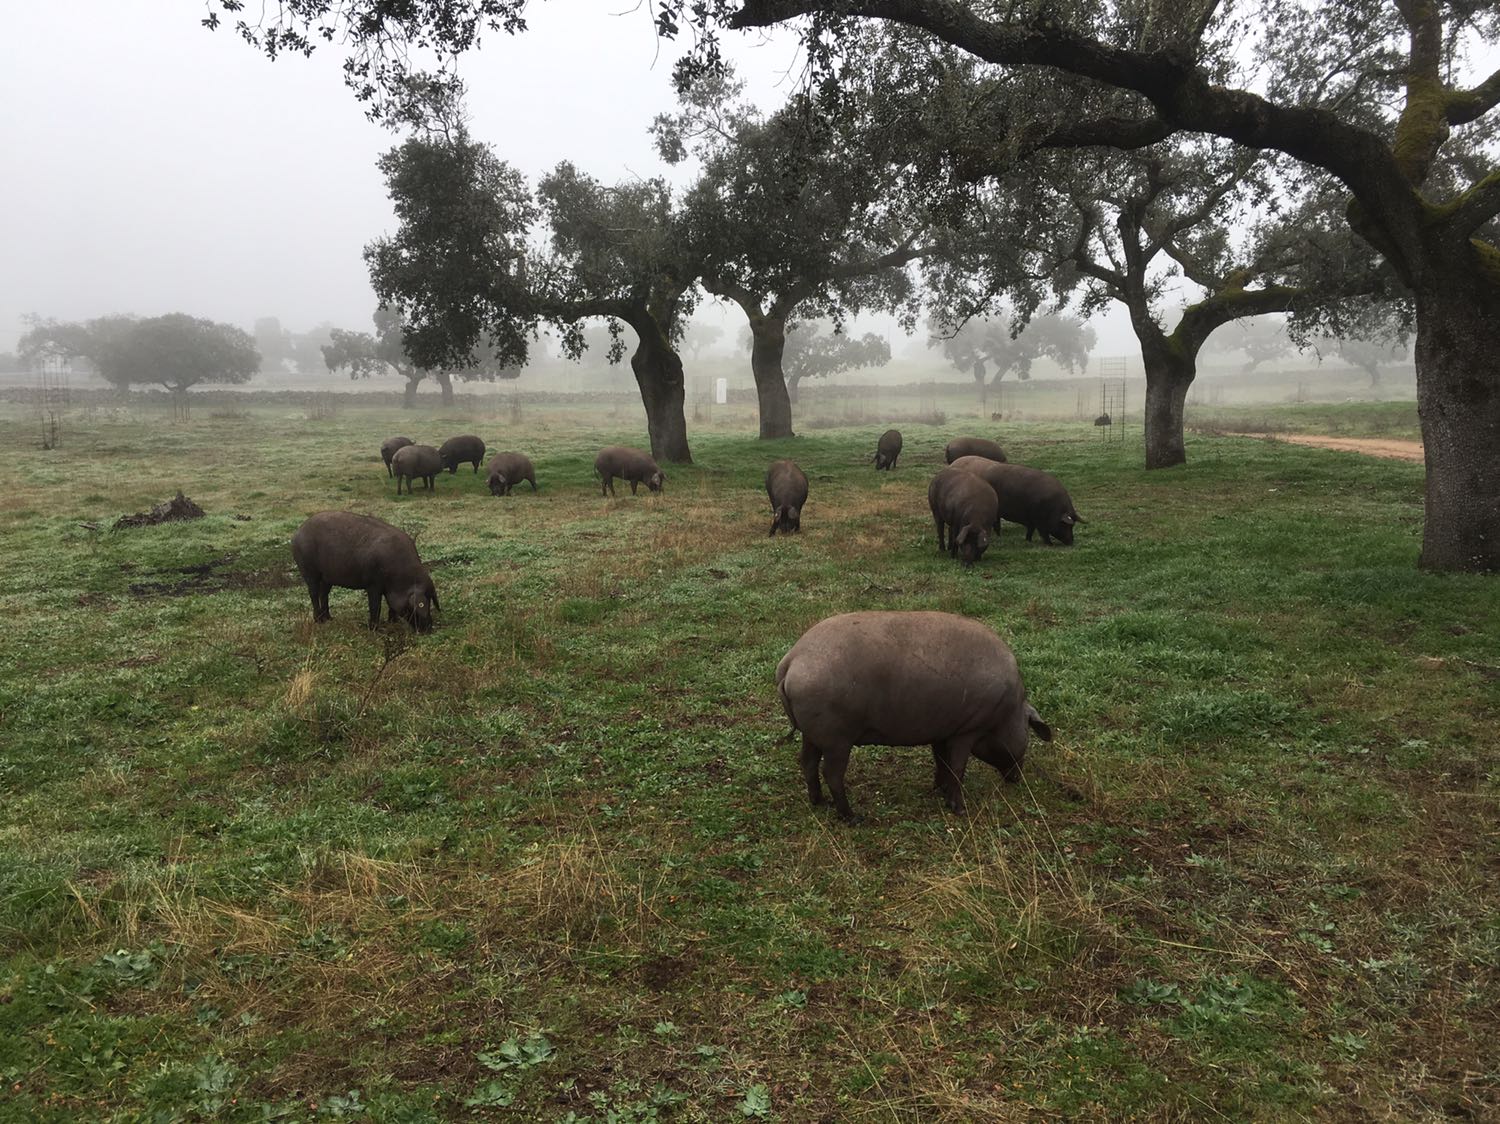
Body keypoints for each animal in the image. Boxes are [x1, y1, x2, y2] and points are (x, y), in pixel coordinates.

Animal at [290, 511, 439, 632]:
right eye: (422, 605)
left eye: (430, 600)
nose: (429, 629)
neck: (400, 576)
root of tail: (297, 533)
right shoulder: (373, 584)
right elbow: (375, 606)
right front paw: (375, 630)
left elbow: (391, 605)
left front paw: (393, 622)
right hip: (308, 569)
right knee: (314, 593)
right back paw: (319, 621)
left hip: (327, 577)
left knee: (324, 594)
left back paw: (329, 618)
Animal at [776, 610, 1052, 821]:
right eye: (1028, 732)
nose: (1017, 780)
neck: (1008, 710)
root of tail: (791, 660)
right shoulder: (967, 729)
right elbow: (957, 768)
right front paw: (961, 811)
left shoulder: (944, 730)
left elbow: (942, 761)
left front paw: (938, 791)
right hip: (837, 738)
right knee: (831, 773)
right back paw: (854, 817)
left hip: (812, 733)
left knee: (807, 762)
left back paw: (819, 802)